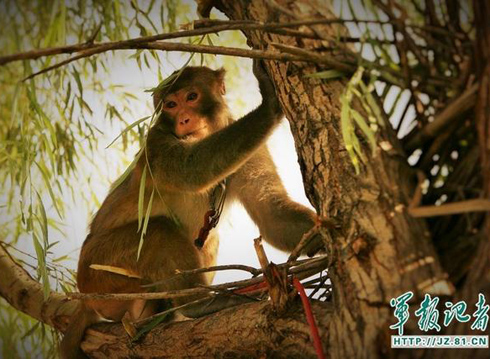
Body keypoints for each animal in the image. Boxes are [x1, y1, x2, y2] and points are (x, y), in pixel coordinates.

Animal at [60, 60, 322, 358]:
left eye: (192, 97)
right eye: (171, 104)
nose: (184, 119)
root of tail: (85, 299)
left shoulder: (251, 155)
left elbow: (271, 216)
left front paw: (320, 235)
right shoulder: (156, 143)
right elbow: (192, 169)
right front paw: (268, 102)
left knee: (205, 238)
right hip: (98, 269)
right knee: (158, 230)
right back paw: (198, 304)